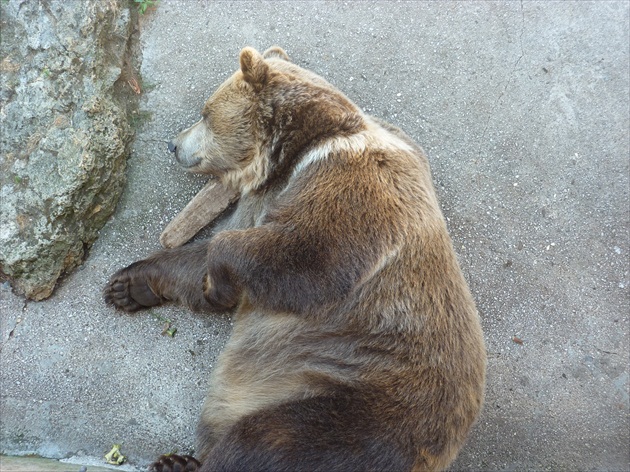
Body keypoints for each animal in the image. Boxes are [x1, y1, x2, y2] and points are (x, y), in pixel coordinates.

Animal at [105, 45, 488, 472]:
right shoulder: (266, 202)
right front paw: (127, 285)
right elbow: (202, 253)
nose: (173, 144)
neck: (291, 159)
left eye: (205, 113)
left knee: (267, 438)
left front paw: (215, 290)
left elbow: (296, 256)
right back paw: (177, 462)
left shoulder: (350, 192)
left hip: (361, 399)